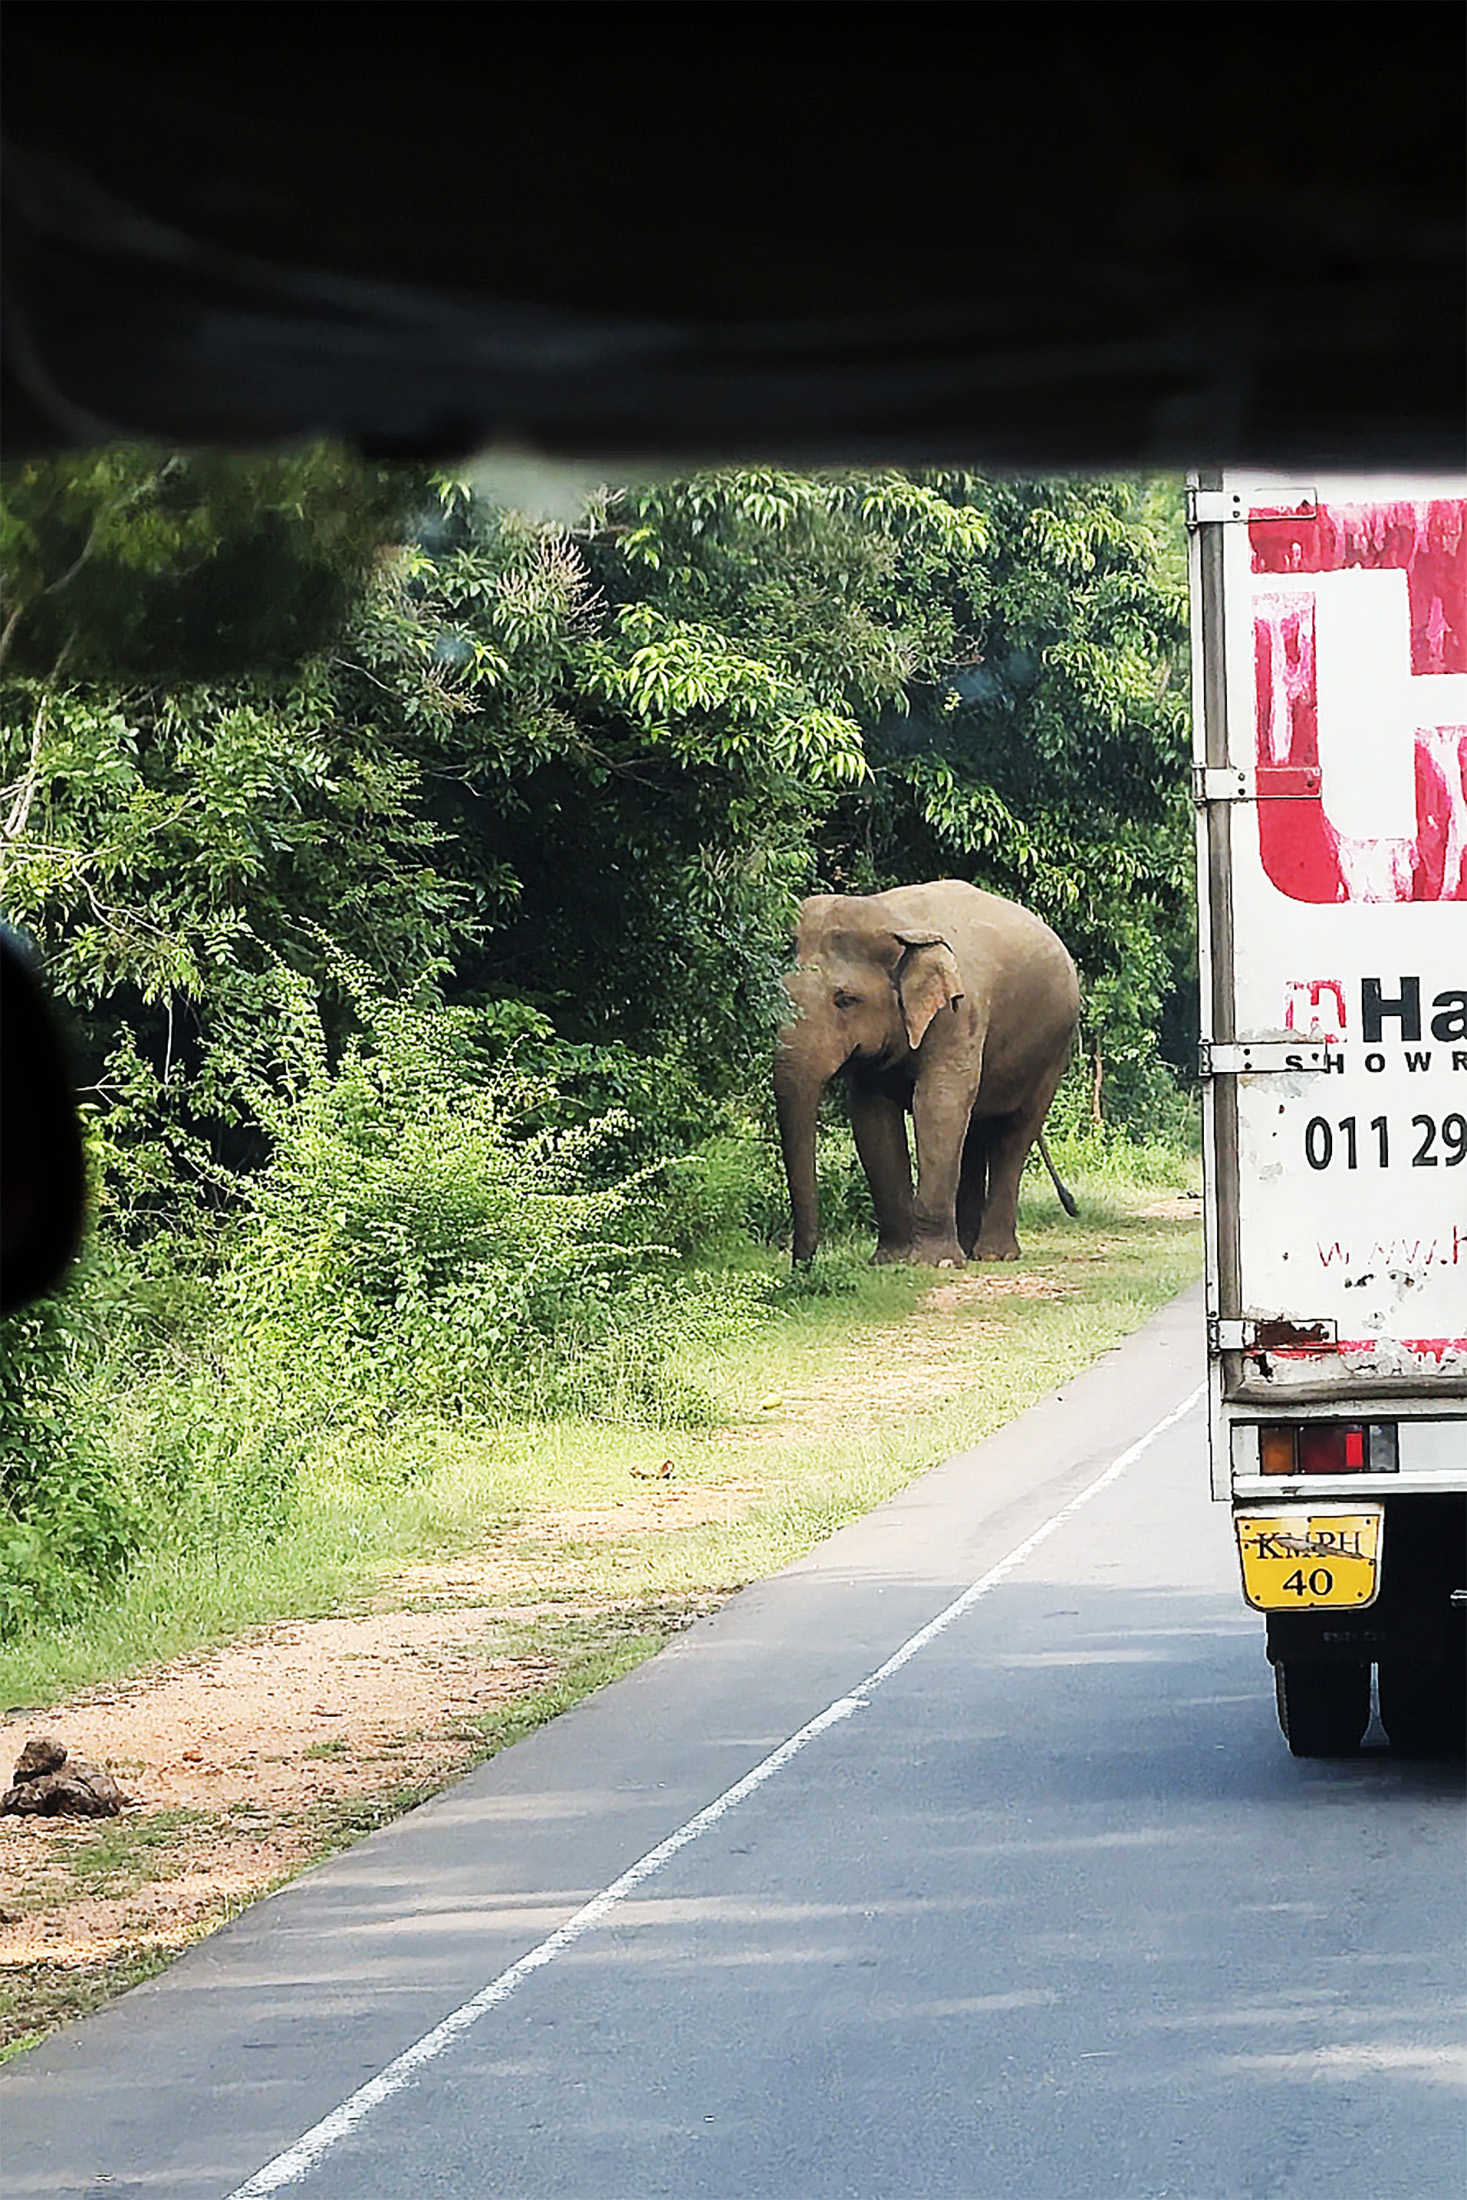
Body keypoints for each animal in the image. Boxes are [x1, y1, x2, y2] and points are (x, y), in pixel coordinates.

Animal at [774, 880, 1080, 1267]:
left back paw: (992, 1255)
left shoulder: (959, 1015)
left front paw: (934, 1262)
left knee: (1016, 1132)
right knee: (974, 1132)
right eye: (782, 992)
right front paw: (891, 1259)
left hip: (1053, 1050)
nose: (802, 1266)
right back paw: (967, 1247)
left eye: (845, 1000)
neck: (897, 924)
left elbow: (939, 1105)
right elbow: (873, 1119)